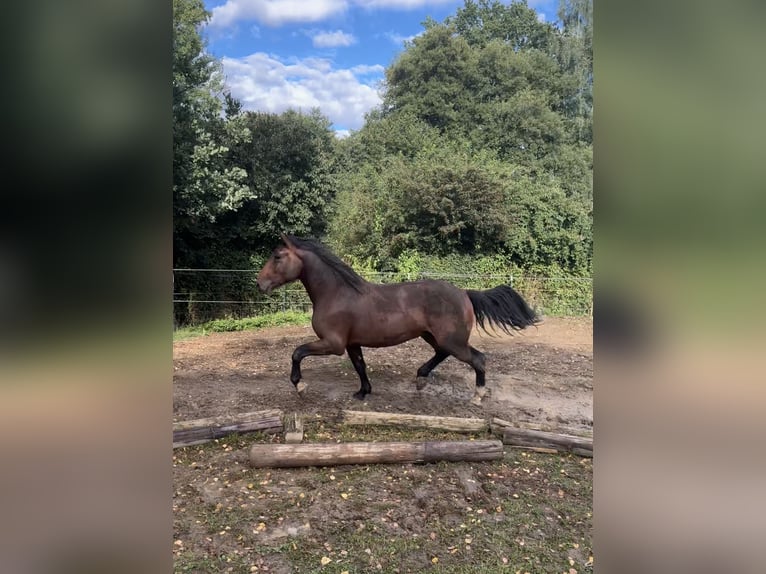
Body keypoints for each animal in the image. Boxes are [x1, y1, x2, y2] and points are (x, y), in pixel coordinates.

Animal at [256, 234, 539, 405]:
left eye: (278, 256)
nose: (260, 284)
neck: (336, 293)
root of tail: (464, 293)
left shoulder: (333, 344)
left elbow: (297, 352)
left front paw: (299, 385)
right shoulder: (351, 344)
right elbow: (360, 366)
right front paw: (363, 392)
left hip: (453, 341)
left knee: (478, 359)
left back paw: (477, 395)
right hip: (434, 337)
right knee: (442, 354)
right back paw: (421, 379)